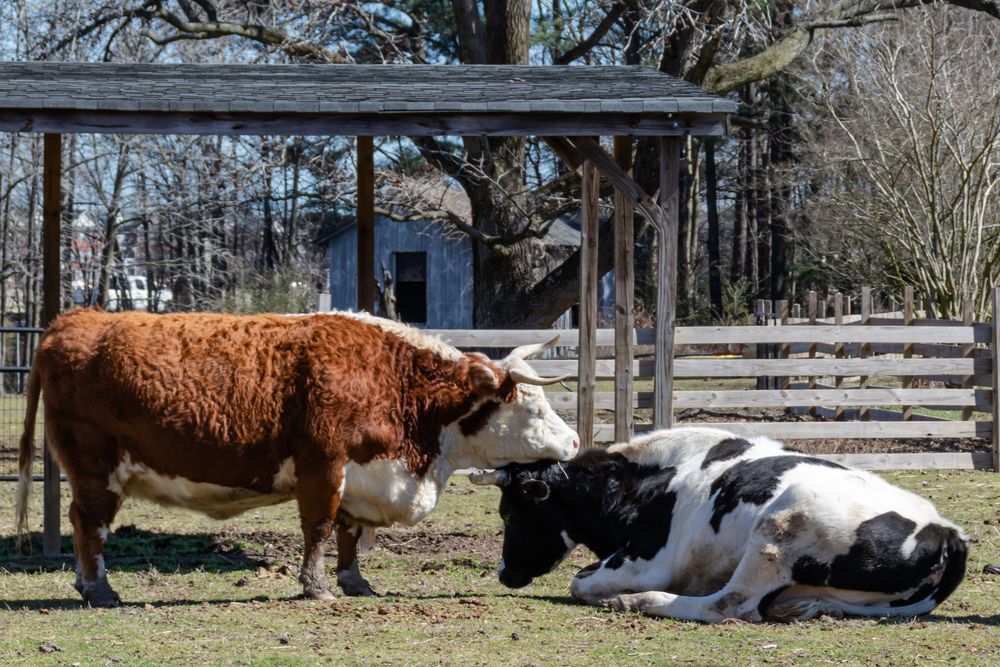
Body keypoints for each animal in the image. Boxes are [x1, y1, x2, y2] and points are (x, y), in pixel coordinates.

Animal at [15, 308, 579, 607]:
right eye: (532, 406)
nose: (575, 443)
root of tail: (75, 319)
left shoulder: (360, 476)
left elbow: (349, 533)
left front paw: (355, 583)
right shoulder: (323, 466)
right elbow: (320, 529)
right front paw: (316, 587)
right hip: (95, 471)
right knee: (89, 526)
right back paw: (99, 589)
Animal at [472, 427, 968, 622]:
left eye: (509, 513)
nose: (504, 573)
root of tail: (945, 528)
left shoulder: (645, 562)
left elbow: (579, 583)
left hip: (781, 528)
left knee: (730, 605)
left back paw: (639, 602)